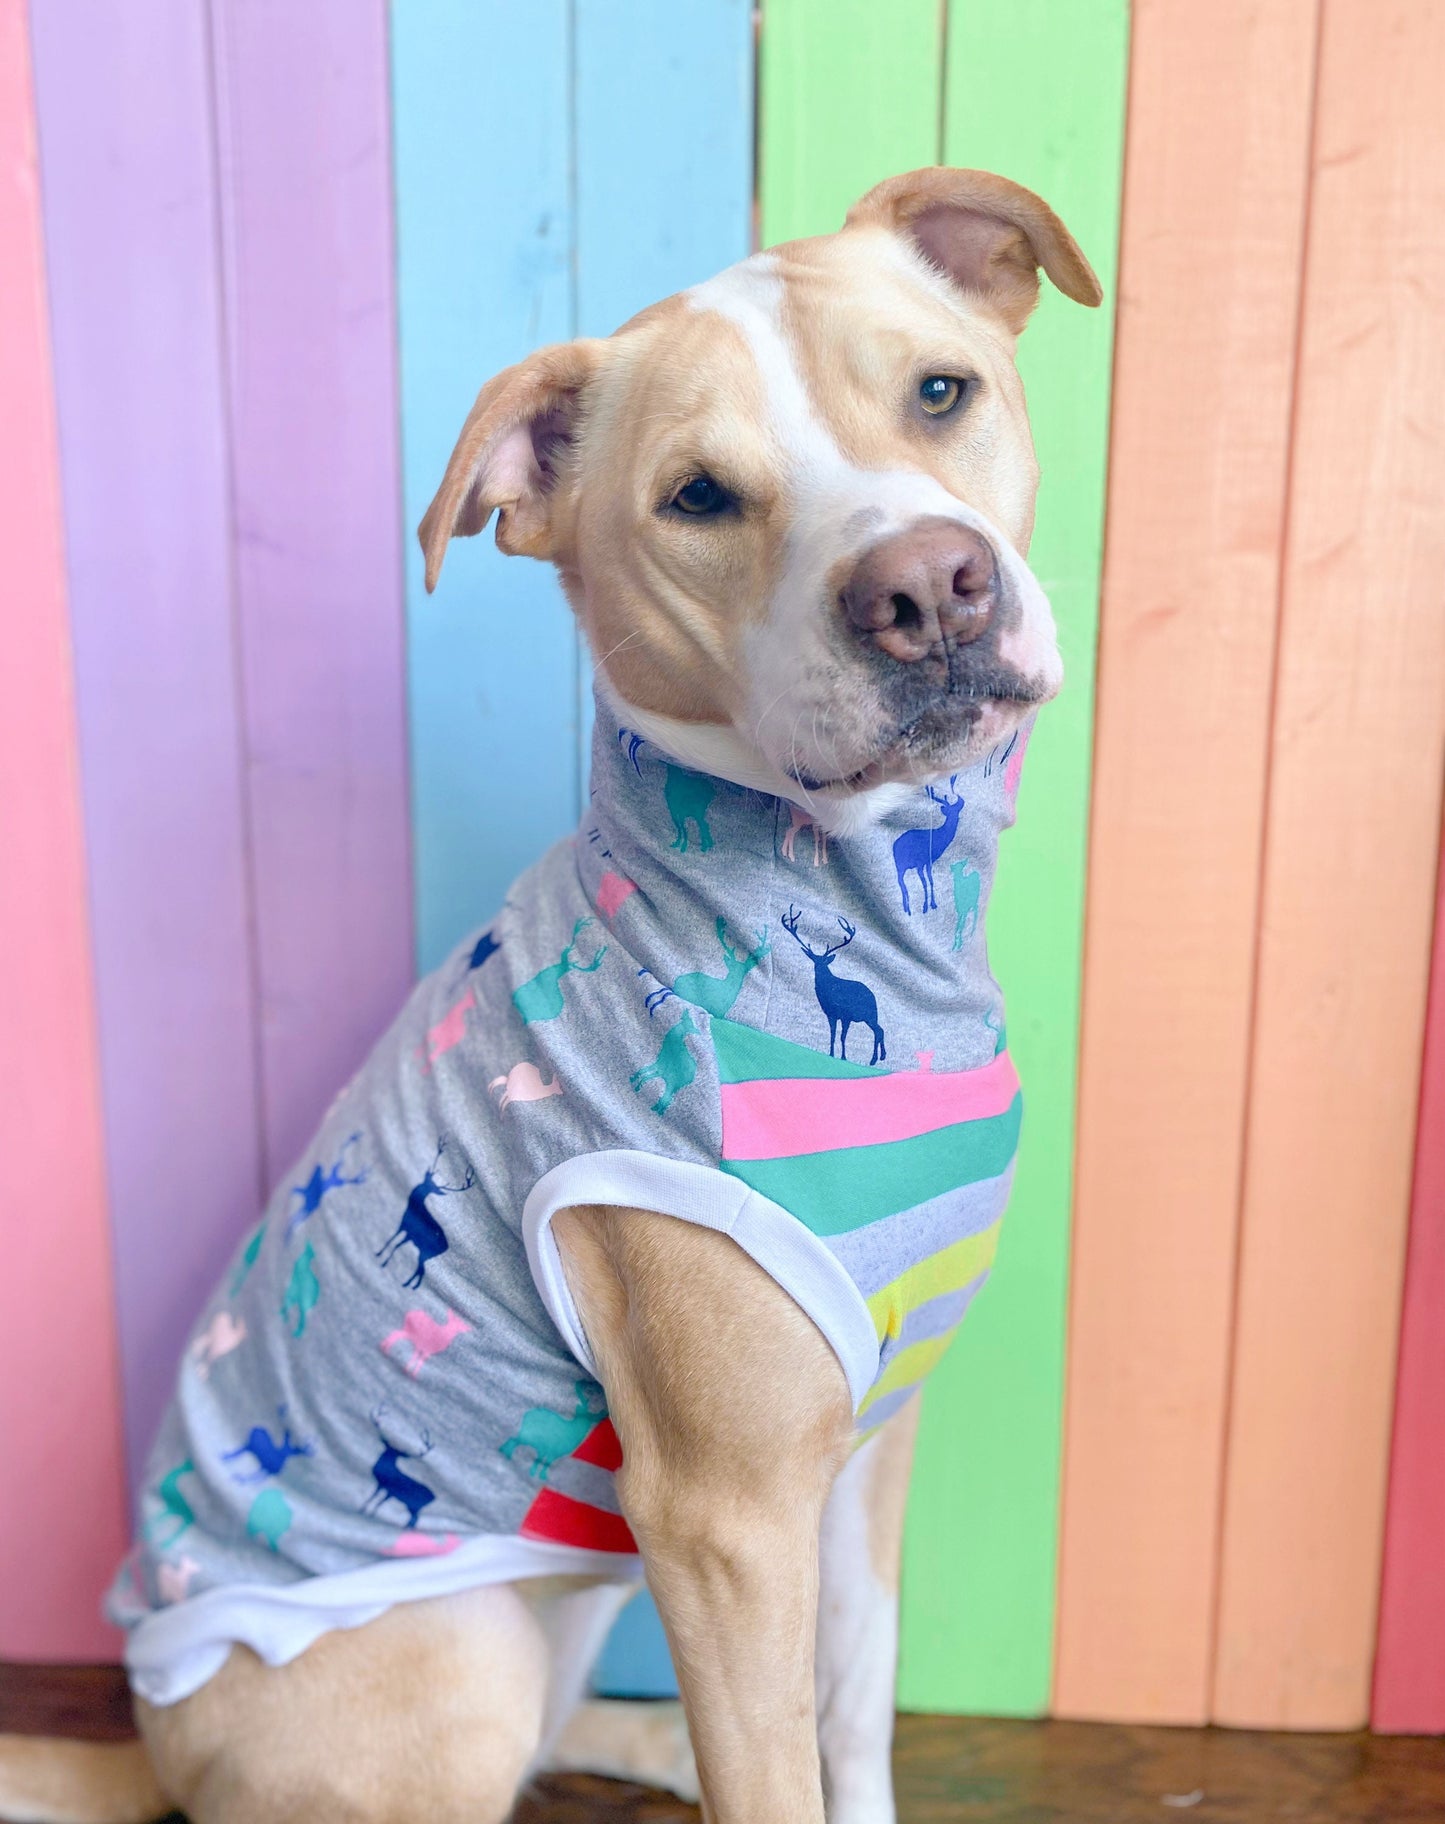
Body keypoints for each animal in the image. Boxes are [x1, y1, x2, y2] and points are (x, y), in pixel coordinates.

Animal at [375, 1138, 473, 1290]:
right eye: (429, 1182)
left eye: (432, 1187)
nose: (423, 1185)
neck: (413, 1208)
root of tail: (446, 1248)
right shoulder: (406, 1230)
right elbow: (396, 1241)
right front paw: (381, 1256)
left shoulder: (406, 1228)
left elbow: (395, 1240)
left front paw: (382, 1258)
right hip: (425, 1253)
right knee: (421, 1269)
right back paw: (410, 1284)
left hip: (426, 1252)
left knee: (421, 1269)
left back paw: (410, 1285)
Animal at [781, 906, 887, 1065]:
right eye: (814, 962)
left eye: (824, 963)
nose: (818, 971)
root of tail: (872, 995)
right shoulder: (831, 1014)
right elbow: (832, 1035)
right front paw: (831, 1054)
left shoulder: (846, 1015)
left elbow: (842, 1036)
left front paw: (843, 1057)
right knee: (879, 1030)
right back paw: (877, 1058)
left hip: (870, 1014)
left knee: (879, 1030)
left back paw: (876, 1059)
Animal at [892, 779, 965, 914]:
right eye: (949, 813)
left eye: (957, 813)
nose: (957, 820)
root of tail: (894, 845)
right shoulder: (920, 862)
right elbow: (924, 883)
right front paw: (925, 907)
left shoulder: (929, 861)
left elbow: (931, 881)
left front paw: (933, 904)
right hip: (900, 864)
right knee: (900, 881)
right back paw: (907, 908)